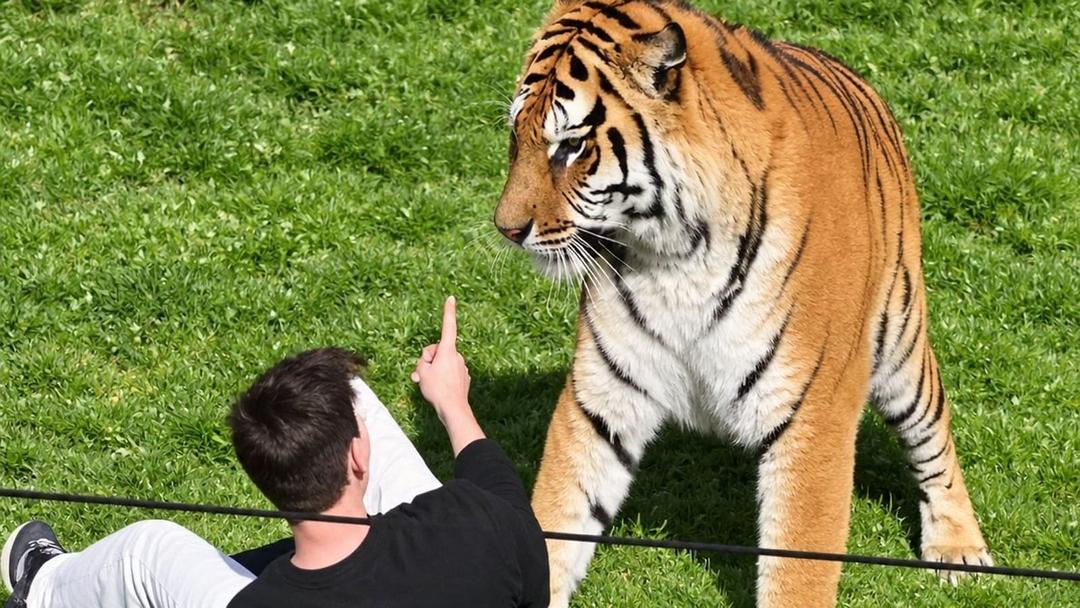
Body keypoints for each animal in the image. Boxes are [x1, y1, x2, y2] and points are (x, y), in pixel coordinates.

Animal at [492, 0, 992, 606]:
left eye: (572, 146)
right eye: (516, 135)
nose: (506, 229)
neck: (674, 255)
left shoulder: (813, 412)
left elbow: (798, 565)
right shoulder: (603, 397)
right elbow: (560, 516)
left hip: (900, 339)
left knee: (932, 432)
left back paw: (958, 549)